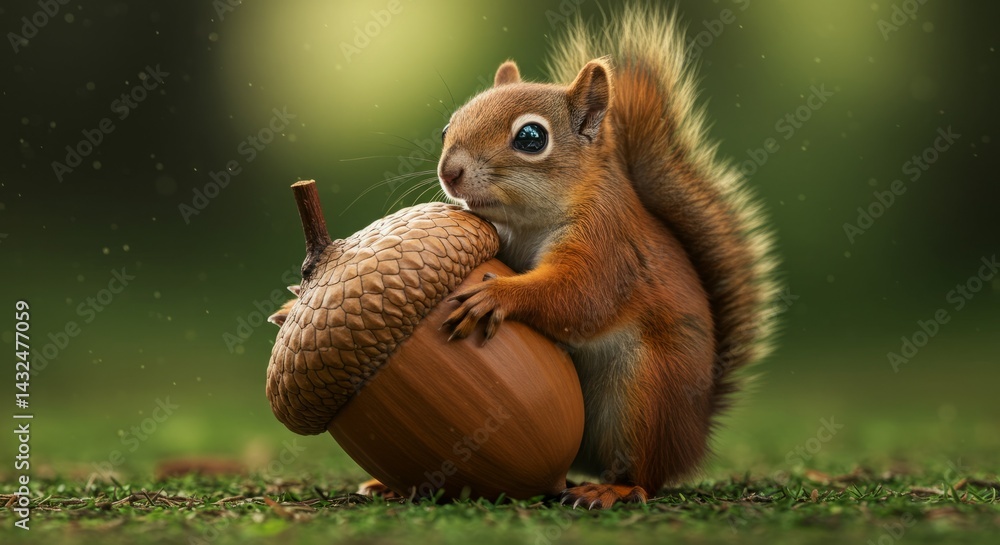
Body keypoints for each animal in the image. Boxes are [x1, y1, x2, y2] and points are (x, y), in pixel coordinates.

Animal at [436, 5, 778, 508]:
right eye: (448, 126)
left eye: (531, 137)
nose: (449, 172)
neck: (529, 222)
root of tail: (694, 436)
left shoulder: (607, 248)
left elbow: (578, 298)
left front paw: (496, 296)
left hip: (644, 397)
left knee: (646, 476)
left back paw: (610, 489)